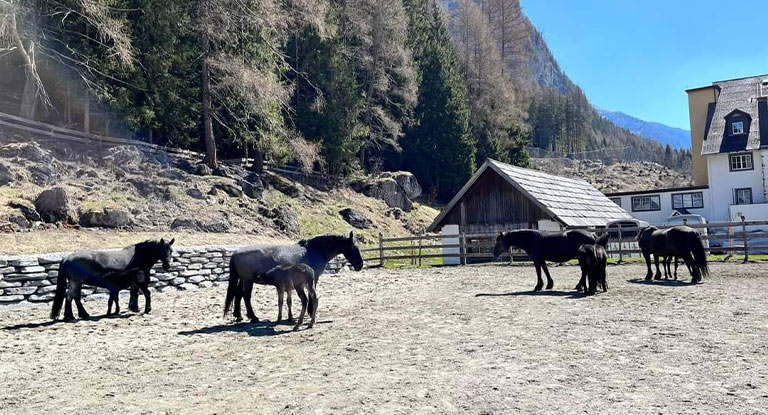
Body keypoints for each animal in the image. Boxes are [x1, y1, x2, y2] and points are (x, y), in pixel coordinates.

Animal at [224, 232, 364, 324]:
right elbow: (311, 295)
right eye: (354, 247)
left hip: (243, 280)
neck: (315, 250)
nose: (360, 265)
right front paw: (310, 312)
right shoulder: (313, 279)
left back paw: (239, 316)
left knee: (238, 295)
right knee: (246, 296)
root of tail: (235, 253)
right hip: (248, 281)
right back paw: (253, 317)